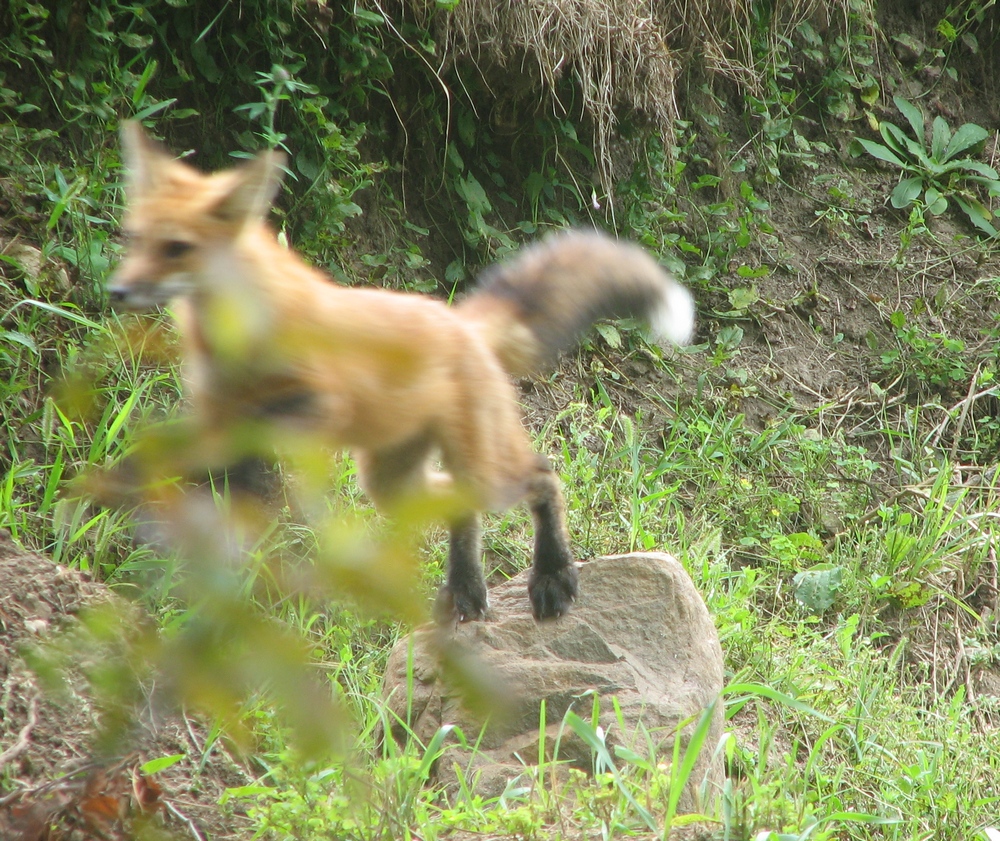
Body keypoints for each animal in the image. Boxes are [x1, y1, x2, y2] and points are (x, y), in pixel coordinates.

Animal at [105, 123, 692, 624]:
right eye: (132, 238)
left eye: (177, 248)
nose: (117, 291)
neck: (240, 337)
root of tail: (460, 320)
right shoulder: (213, 414)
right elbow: (170, 457)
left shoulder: (320, 401)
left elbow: (258, 436)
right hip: (393, 484)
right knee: (462, 510)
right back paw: (466, 589)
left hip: (483, 474)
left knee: (543, 477)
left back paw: (551, 575)